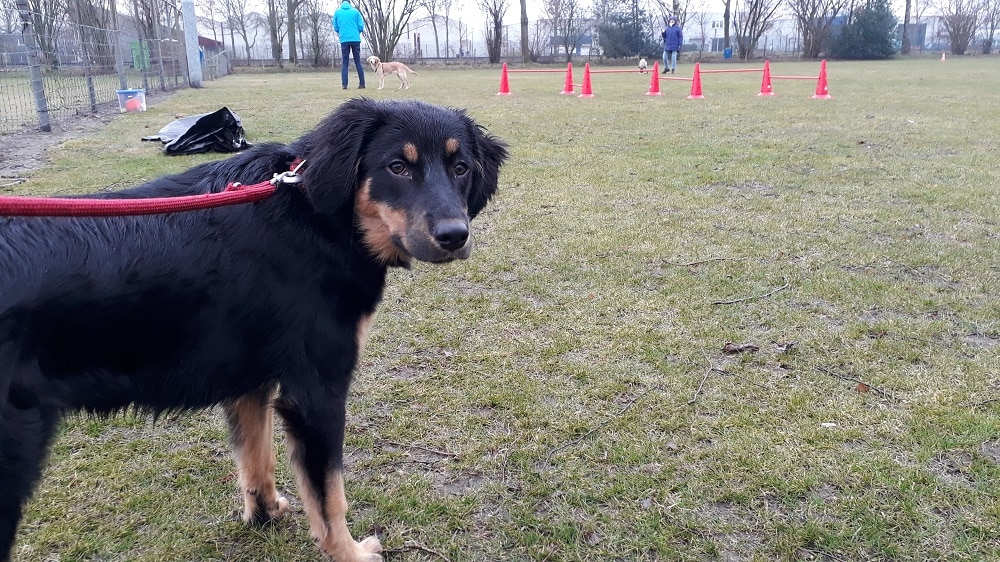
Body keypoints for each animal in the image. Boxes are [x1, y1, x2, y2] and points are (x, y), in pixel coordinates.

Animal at [0, 98, 504, 556]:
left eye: (461, 168)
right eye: (397, 167)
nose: (455, 236)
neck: (314, 215)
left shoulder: (250, 381)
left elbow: (255, 457)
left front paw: (264, 513)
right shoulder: (316, 392)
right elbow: (330, 497)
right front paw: (350, 552)